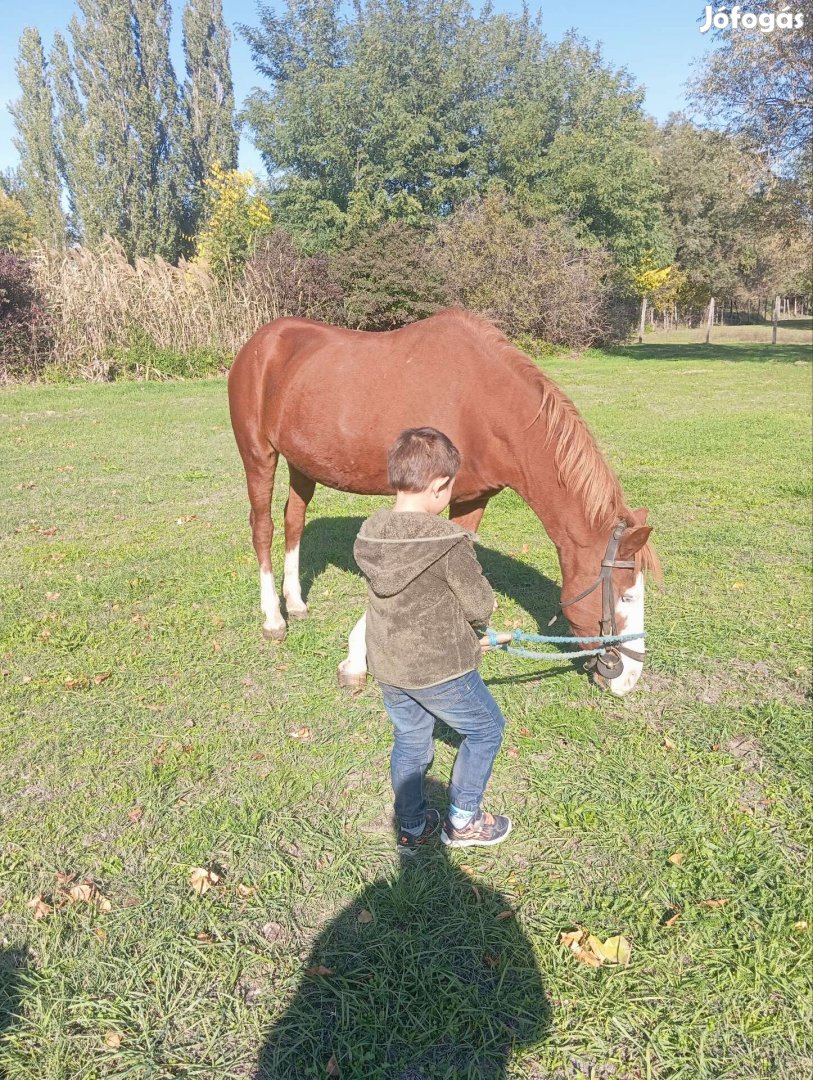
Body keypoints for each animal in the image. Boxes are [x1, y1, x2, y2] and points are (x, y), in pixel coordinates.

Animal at [225, 308, 656, 695]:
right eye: (627, 595)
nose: (630, 679)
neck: (483, 404)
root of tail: (260, 342)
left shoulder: (471, 499)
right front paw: (356, 661)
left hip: (302, 464)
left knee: (294, 521)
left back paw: (296, 602)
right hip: (258, 454)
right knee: (263, 526)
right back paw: (274, 618)